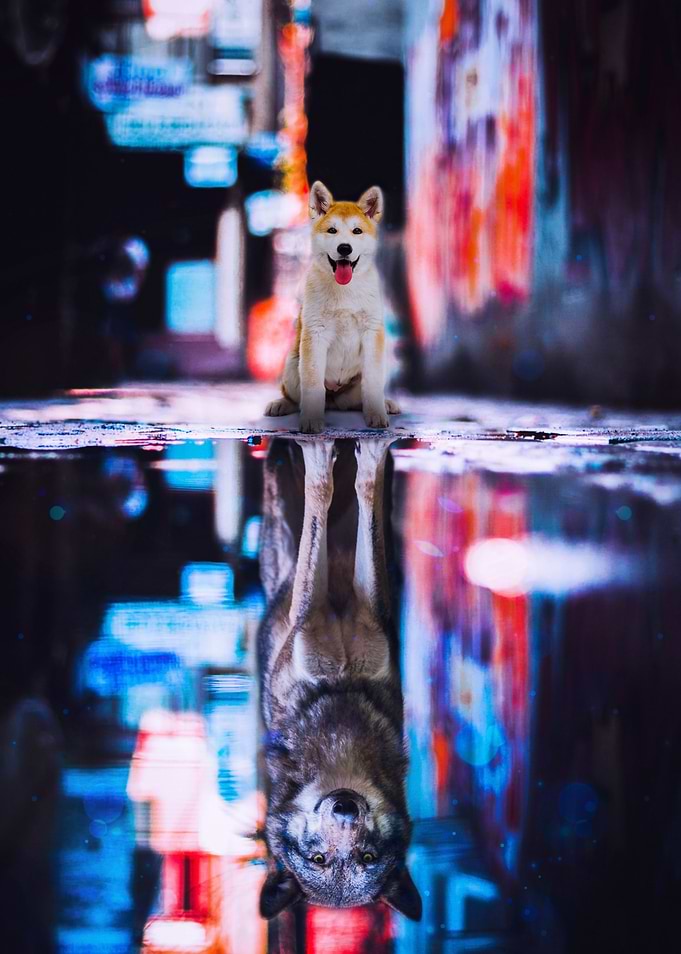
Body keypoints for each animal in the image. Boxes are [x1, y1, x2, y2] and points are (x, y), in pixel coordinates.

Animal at [257, 437, 421, 921]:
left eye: (366, 857)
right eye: (318, 859)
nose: (345, 808)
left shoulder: (368, 613)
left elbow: (356, 494)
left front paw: (364, 456)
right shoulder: (308, 620)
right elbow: (322, 501)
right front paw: (326, 458)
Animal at [264, 181, 400, 434]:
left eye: (357, 231)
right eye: (332, 231)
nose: (344, 248)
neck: (344, 290)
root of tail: (335, 398)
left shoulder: (372, 331)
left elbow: (373, 383)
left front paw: (377, 415)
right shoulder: (315, 334)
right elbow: (312, 383)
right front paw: (311, 421)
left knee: (361, 397)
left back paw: (386, 403)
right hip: (292, 364)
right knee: (294, 396)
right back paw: (281, 404)